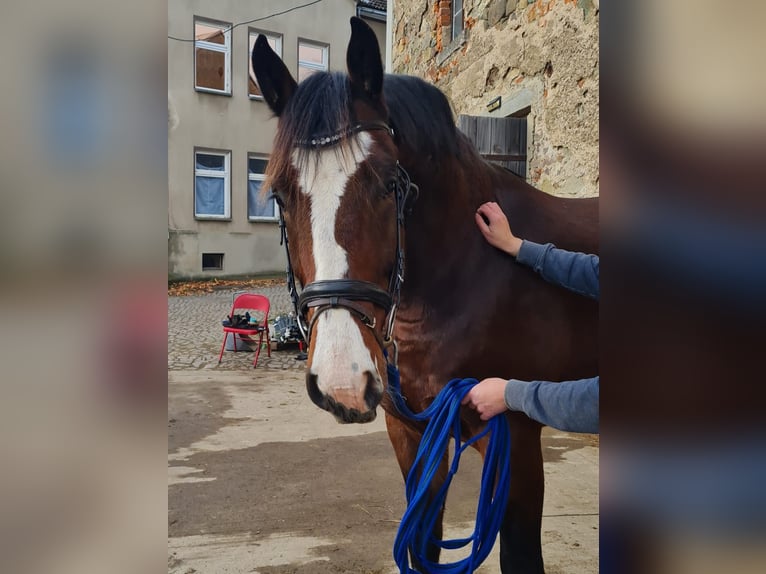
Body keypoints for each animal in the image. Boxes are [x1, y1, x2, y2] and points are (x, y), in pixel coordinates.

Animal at [252, 17, 598, 573]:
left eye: (389, 184)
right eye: (281, 194)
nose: (342, 380)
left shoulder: (517, 444)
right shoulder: (412, 437)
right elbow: (423, 544)